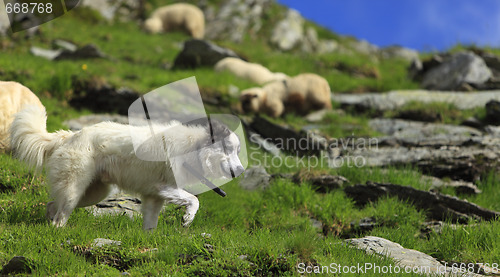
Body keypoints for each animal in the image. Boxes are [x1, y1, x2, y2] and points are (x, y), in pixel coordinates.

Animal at [10, 105, 245, 229]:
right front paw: (187, 218)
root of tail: (69, 136)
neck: (192, 148)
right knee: (60, 214)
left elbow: (151, 225)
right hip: (74, 189)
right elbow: (194, 200)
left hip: (93, 193)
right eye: (228, 148)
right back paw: (58, 231)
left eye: (238, 150)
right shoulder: (164, 187)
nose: (242, 171)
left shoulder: (154, 197)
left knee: (52, 205)